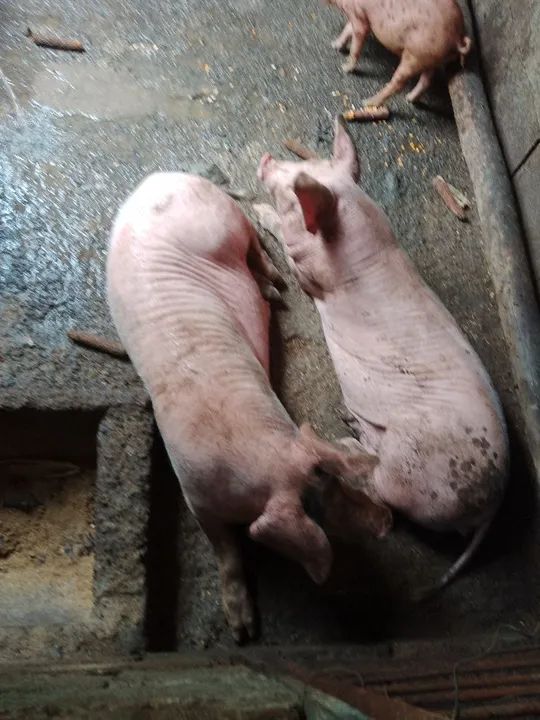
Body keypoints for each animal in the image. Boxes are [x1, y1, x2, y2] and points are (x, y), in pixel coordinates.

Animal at [106, 171, 391, 641]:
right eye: (323, 510)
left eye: (341, 484)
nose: (388, 524)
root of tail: (161, 178)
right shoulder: (196, 497)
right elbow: (228, 555)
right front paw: (242, 633)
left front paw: (244, 634)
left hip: (226, 219)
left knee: (254, 240)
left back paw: (274, 287)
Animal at [257, 119, 509, 589]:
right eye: (307, 164)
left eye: (292, 188)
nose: (265, 159)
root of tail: (490, 506)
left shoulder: (311, 275)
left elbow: (289, 251)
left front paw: (259, 212)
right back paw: (349, 423)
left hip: (410, 471)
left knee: (380, 491)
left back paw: (339, 440)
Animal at [326, 0, 472, 107]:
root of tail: (457, 37)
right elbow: (347, 29)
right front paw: (334, 45)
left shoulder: (359, 17)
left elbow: (356, 44)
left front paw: (345, 68)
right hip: (431, 57)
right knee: (426, 80)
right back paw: (409, 99)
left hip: (413, 57)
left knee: (398, 84)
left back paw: (368, 102)